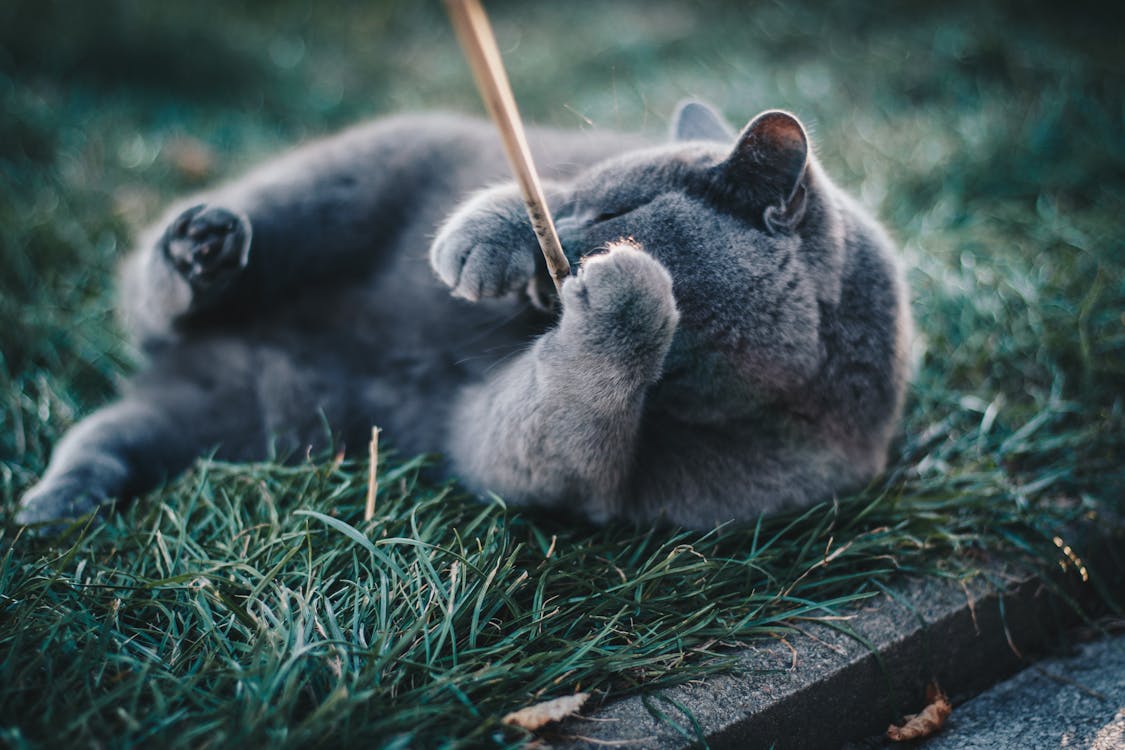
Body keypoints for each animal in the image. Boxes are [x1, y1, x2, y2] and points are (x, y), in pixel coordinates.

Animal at [13, 102, 913, 530]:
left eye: (617, 211)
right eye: (578, 196)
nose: (562, 250)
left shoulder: (574, 477)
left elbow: (549, 425)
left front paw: (627, 288)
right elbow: (509, 204)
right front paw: (485, 239)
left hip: (248, 416)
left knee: (111, 431)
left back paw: (62, 503)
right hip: (336, 177)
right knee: (150, 289)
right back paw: (202, 249)